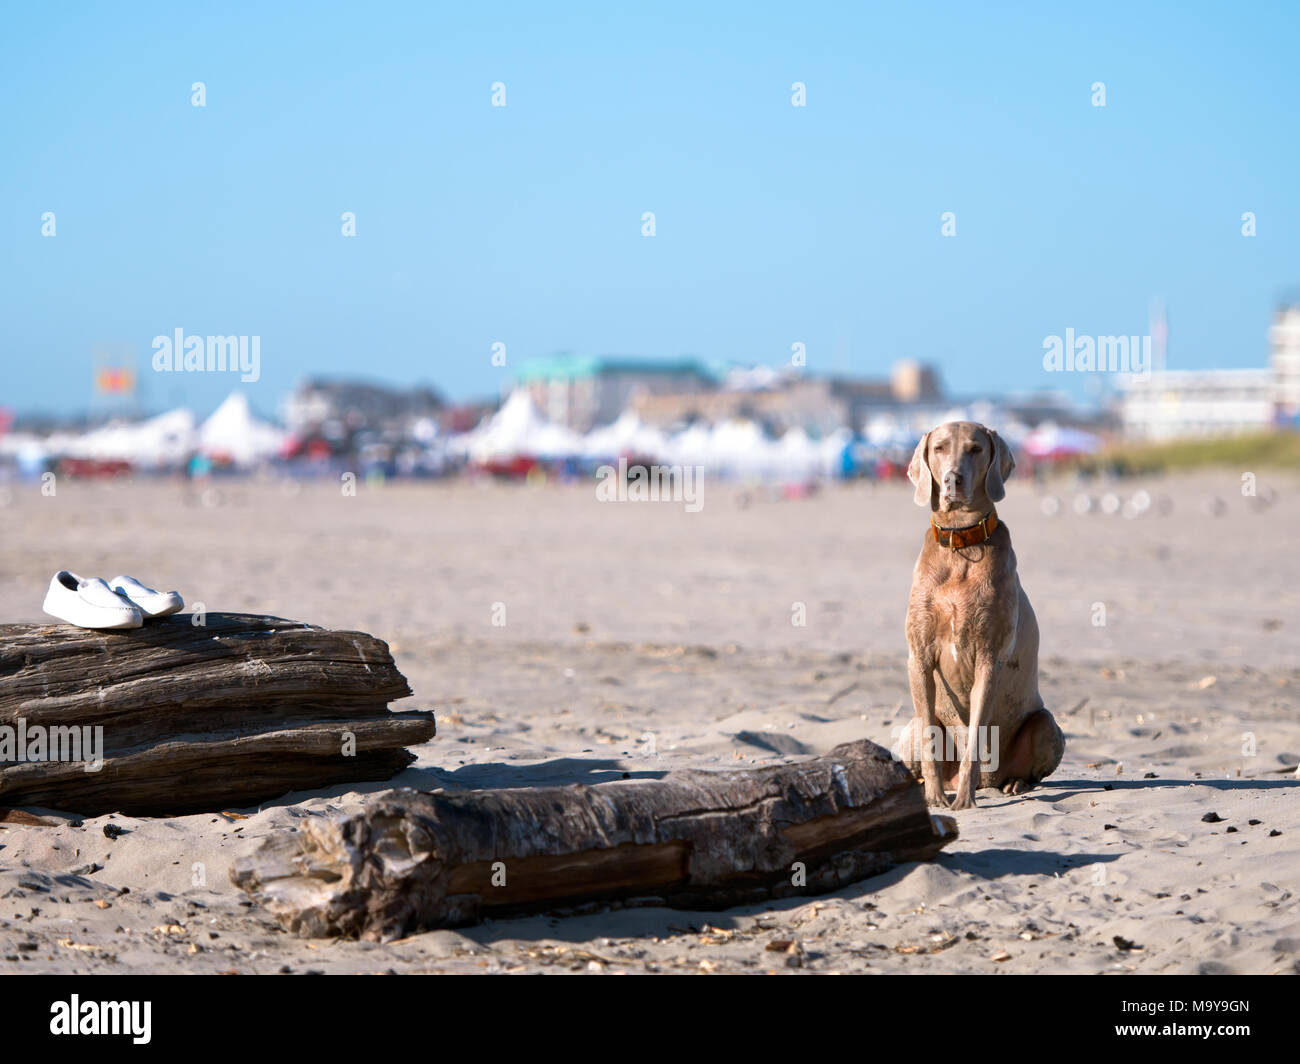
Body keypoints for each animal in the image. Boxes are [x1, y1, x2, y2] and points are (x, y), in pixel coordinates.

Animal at [899, 416, 1060, 806]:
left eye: (974, 449)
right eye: (939, 447)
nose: (952, 480)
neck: (960, 544)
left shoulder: (989, 658)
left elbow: (974, 736)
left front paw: (963, 802)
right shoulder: (918, 656)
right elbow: (929, 737)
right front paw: (936, 799)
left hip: (1048, 726)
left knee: (1031, 761)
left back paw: (1012, 784)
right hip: (908, 729)